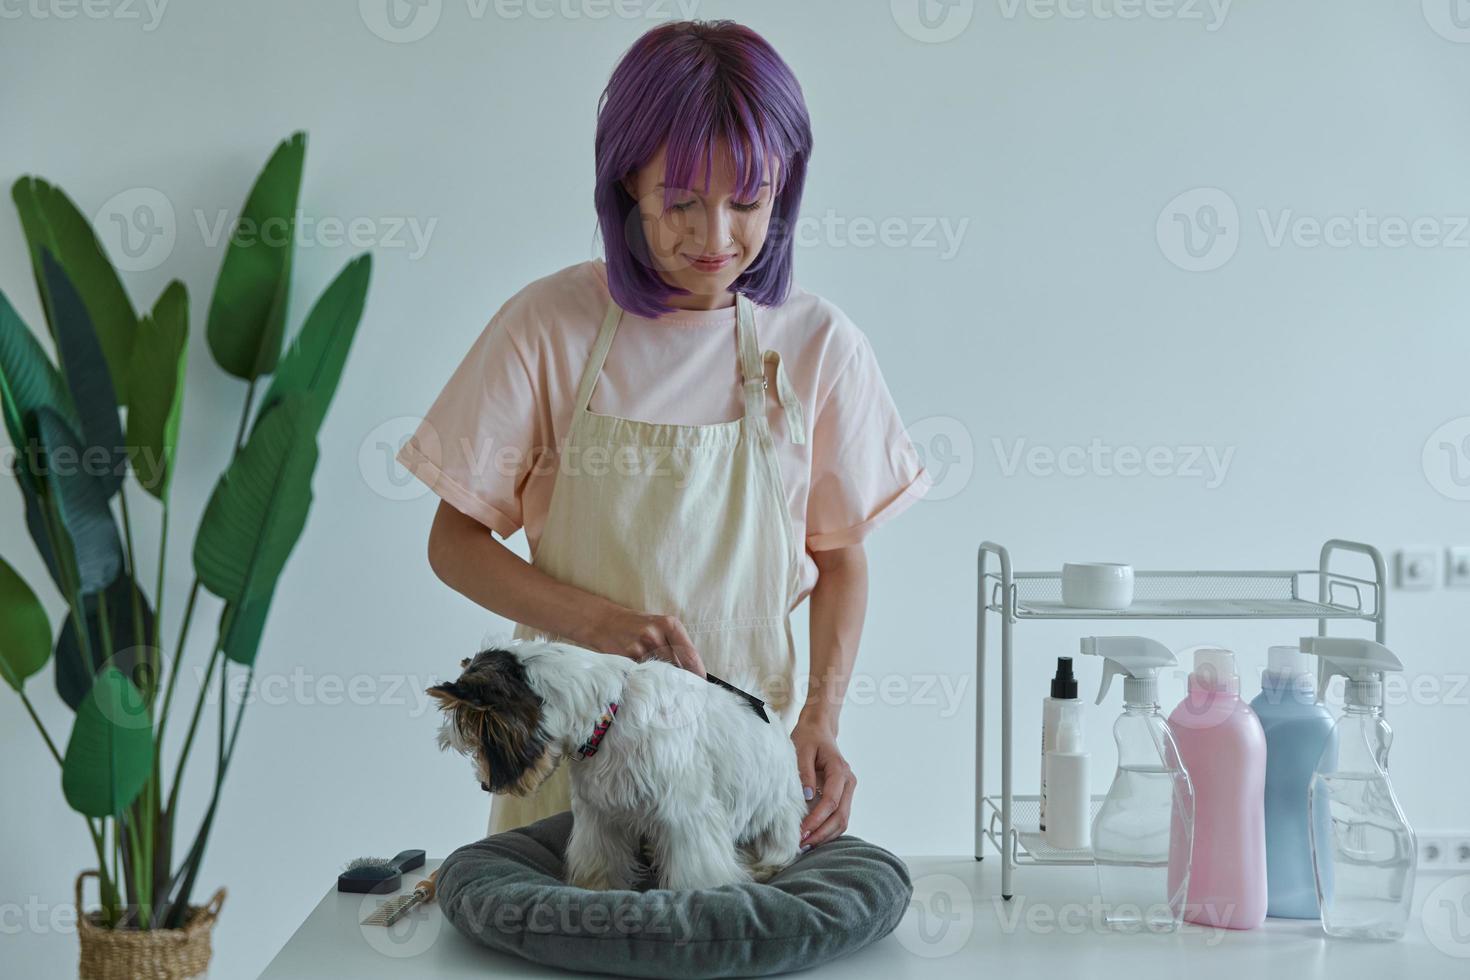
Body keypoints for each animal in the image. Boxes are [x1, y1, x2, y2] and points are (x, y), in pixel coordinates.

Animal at [429, 640, 811, 893]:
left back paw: (764, 865)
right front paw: (596, 888)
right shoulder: (599, 815)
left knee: (782, 843)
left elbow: (695, 868)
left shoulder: (687, 814)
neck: (609, 715)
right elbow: (599, 858)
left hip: (777, 809)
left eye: (484, 740)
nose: (485, 784)